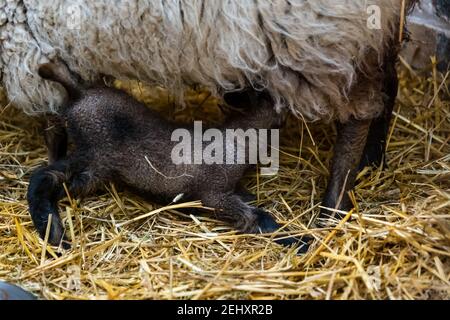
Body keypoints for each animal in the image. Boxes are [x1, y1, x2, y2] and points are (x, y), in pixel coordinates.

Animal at [27, 61, 310, 252]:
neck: (239, 139)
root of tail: (80, 94)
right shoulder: (213, 194)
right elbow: (254, 217)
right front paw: (299, 240)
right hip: (95, 156)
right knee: (47, 177)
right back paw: (54, 234)